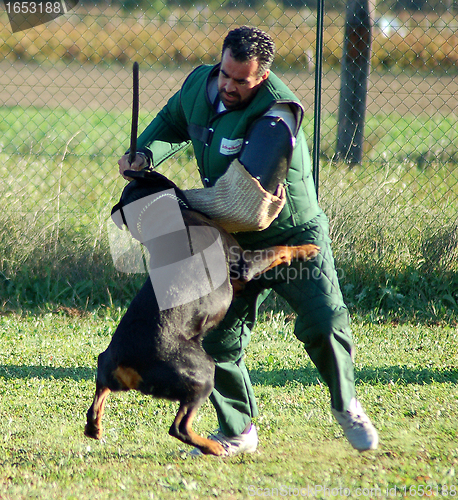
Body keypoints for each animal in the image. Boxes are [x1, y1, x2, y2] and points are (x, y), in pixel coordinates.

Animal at [85, 170, 318, 456]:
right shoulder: (244, 264)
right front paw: (305, 249)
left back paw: (94, 426)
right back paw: (213, 447)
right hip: (203, 372)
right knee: (179, 427)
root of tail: (129, 362)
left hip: (108, 364)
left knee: (100, 388)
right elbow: (280, 249)